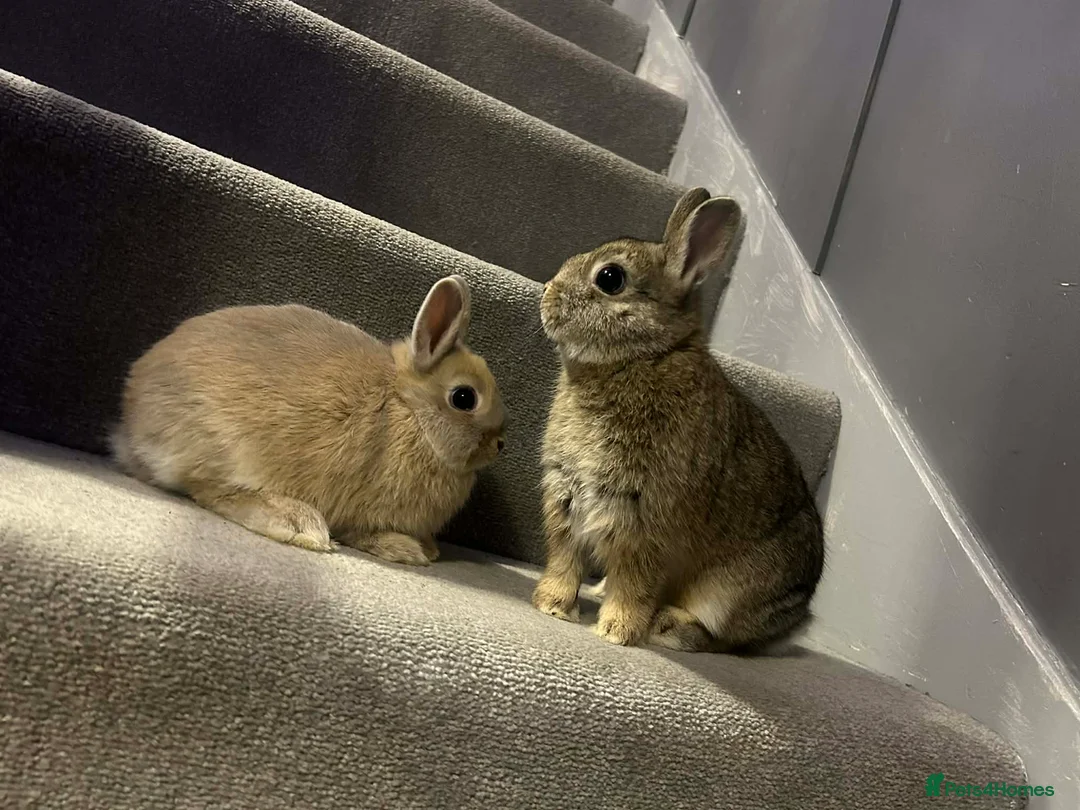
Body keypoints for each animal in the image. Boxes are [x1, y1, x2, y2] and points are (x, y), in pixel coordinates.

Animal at [111, 275, 506, 566]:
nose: (500, 444)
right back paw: (297, 523)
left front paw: (428, 547)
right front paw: (408, 550)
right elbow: (361, 532)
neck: (408, 410)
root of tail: (130, 425)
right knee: (211, 491)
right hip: (224, 446)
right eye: (464, 398)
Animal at [531, 188, 824, 652]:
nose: (546, 294)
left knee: (719, 638)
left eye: (610, 278)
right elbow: (565, 558)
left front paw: (617, 632)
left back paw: (666, 626)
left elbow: (636, 582)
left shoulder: (646, 514)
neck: (642, 357)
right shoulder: (566, 496)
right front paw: (554, 606)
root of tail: (795, 617)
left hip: (727, 593)